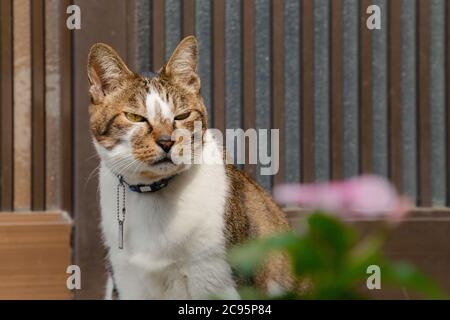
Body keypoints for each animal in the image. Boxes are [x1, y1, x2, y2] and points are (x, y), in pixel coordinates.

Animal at [88, 36, 292, 298]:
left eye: (182, 116)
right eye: (134, 117)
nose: (167, 141)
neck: (154, 194)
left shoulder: (217, 278)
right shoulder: (127, 279)